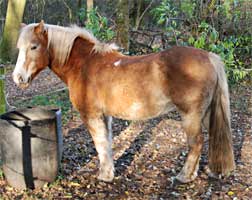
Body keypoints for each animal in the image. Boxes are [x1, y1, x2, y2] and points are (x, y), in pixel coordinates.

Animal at [12, 21, 235, 183]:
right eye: (19, 48)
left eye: (34, 46)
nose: (18, 78)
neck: (84, 65)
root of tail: (209, 56)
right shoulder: (105, 116)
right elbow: (107, 143)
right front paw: (109, 172)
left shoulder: (91, 115)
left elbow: (100, 144)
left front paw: (104, 176)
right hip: (205, 114)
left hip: (191, 115)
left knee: (196, 143)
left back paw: (184, 177)